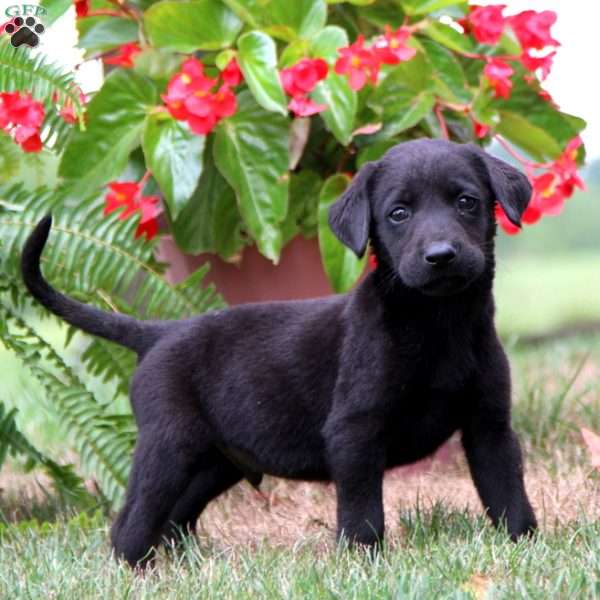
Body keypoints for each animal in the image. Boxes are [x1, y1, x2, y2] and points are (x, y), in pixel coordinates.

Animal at [21, 139, 536, 568]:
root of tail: (158, 332)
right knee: (131, 524)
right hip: (169, 449)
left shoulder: (489, 426)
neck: (437, 323)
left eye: (466, 202)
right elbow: (363, 511)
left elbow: (507, 493)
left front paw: (524, 548)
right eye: (398, 213)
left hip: (215, 461)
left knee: (174, 519)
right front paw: (363, 563)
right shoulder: (354, 433)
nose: (441, 255)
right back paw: (135, 571)